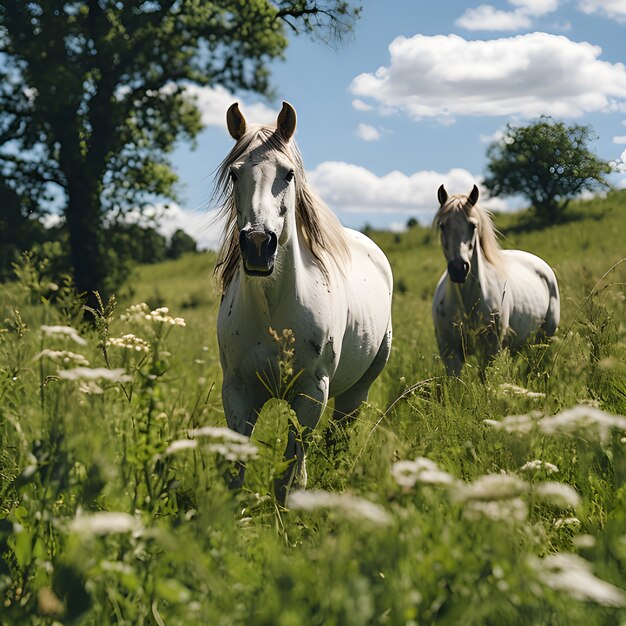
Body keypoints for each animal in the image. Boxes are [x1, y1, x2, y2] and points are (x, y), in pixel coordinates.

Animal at [214, 102, 390, 500]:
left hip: (356, 390)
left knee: (339, 434)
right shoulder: (238, 391)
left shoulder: (312, 391)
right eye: (234, 173)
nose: (258, 245)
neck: (272, 308)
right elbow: (236, 472)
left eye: (289, 173)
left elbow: (289, 473)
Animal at [432, 183, 560, 372]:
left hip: (543, 338)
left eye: (473, 226)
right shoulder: (450, 353)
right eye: (442, 226)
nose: (458, 269)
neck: (466, 303)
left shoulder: (491, 351)